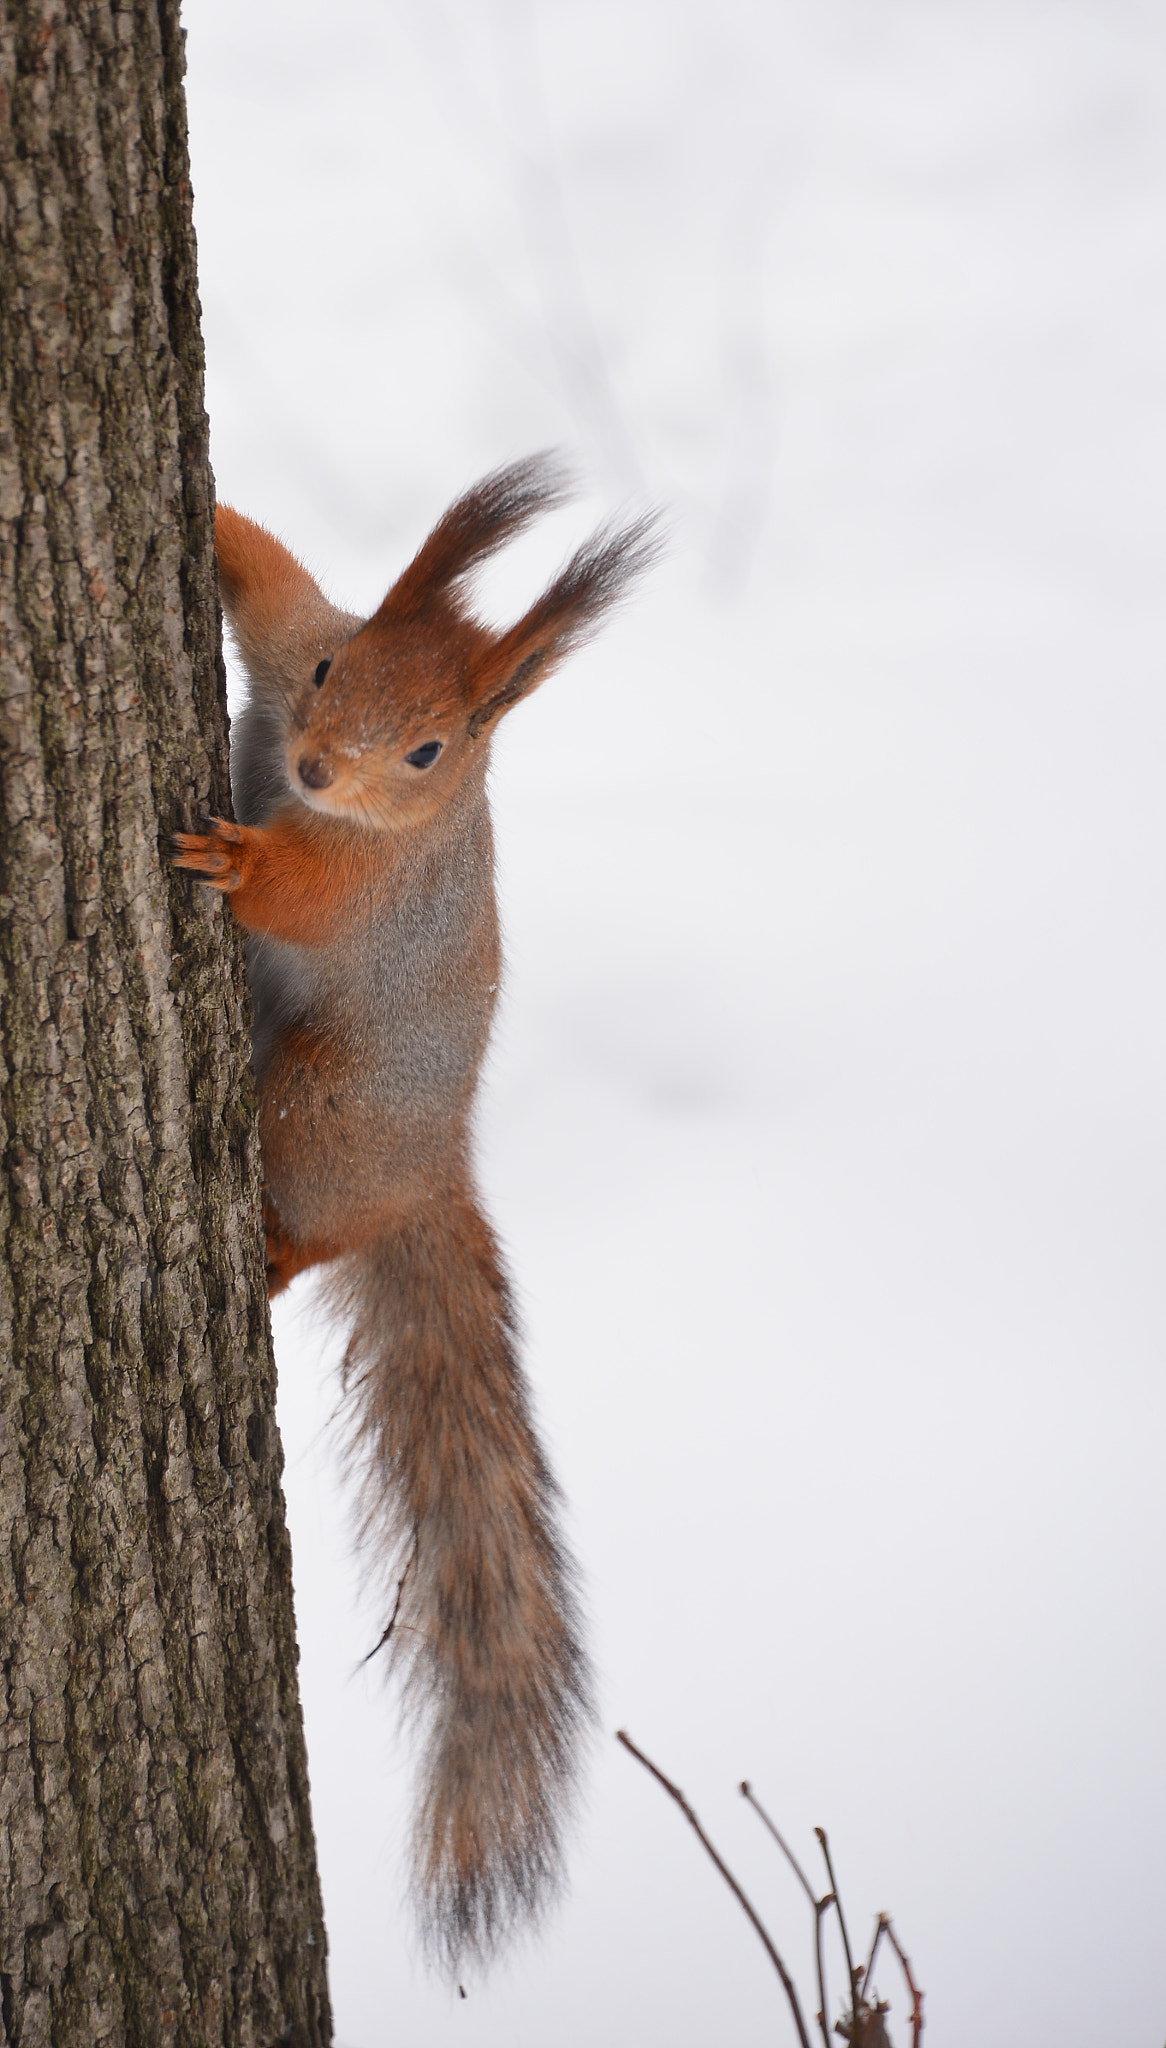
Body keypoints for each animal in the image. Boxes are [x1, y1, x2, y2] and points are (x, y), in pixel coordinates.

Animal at [171, 456, 658, 1972]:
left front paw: (240, 860)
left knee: (311, 1229)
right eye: (337, 671)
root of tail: (432, 1167)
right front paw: (219, 505)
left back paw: (276, 1248)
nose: (319, 770)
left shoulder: (376, 888)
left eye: (434, 753)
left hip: (316, 1117)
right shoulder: (287, 643)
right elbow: (266, 580)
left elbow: (308, 896)